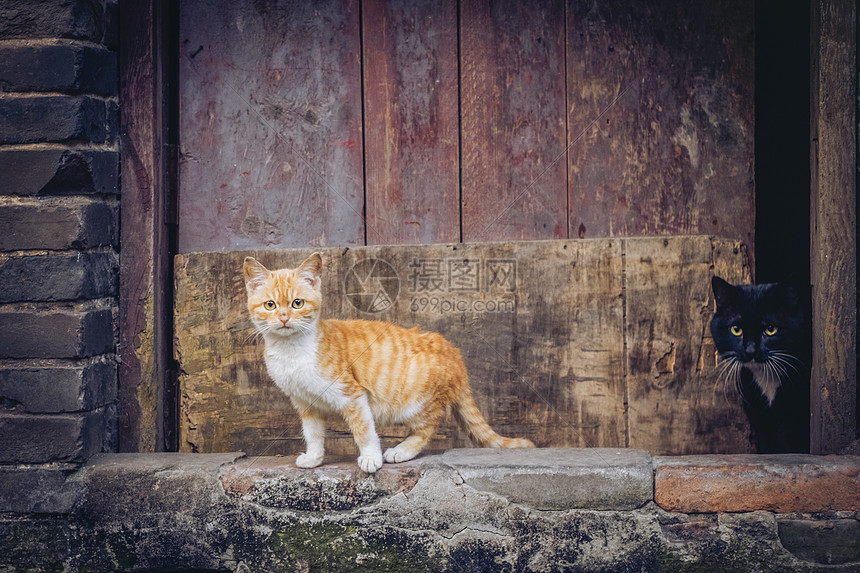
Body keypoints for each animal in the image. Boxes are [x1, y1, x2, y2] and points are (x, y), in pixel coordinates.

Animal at [244, 252, 532, 472]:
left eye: (297, 303)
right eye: (270, 305)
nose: (283, 318)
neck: (292, 351)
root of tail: (454, 353)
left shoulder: (352, 395)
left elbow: (364, 429)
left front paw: (371, 458)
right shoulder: (306, 403)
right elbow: (313, 433)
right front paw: (314, 458)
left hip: (416, 402)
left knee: (429, 427)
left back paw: (401, 451)